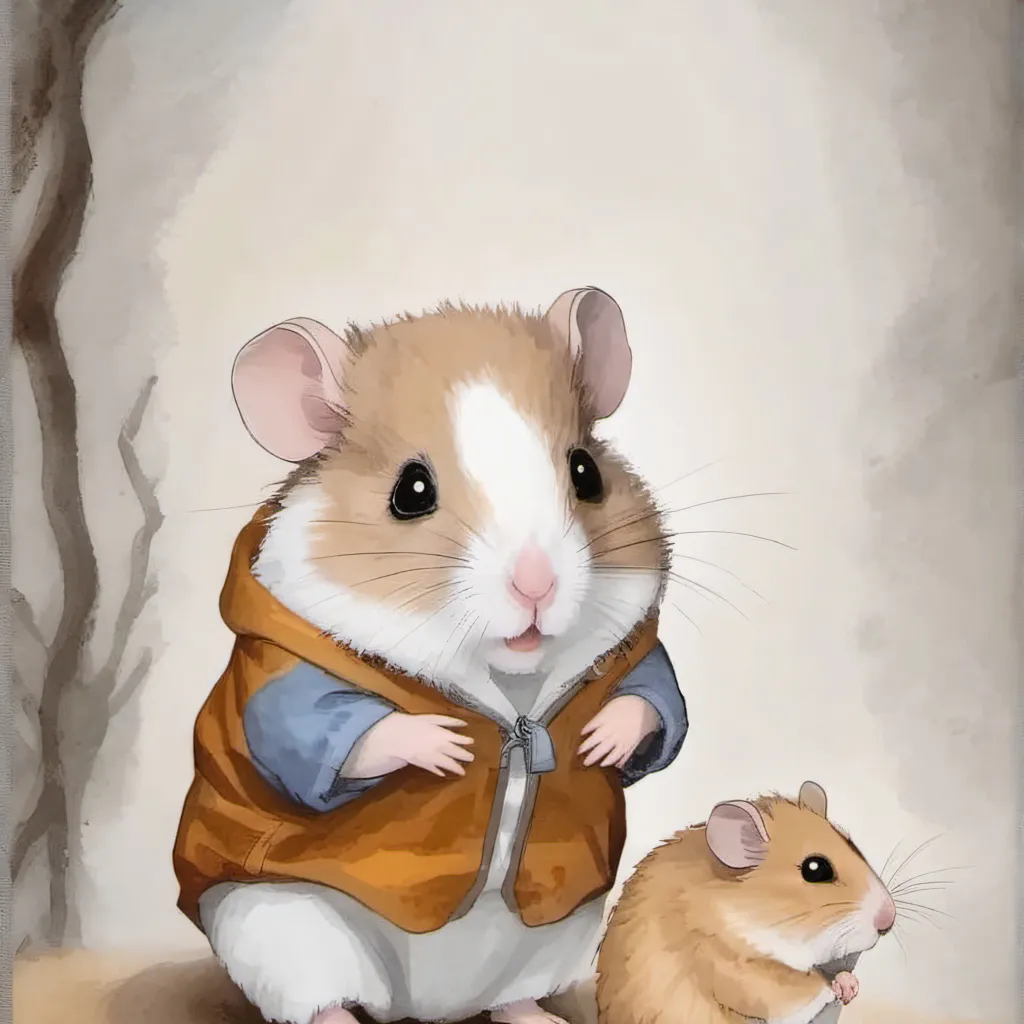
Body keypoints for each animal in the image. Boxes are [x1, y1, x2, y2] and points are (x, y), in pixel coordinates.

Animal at [174, 288, 690, 1024]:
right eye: (411, 491)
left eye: (586, 473)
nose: (537, 586)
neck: (511, 683)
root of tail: (424, 1008)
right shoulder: (282, 674)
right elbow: (318, 728)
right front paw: (446, 745)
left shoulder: (640, 651)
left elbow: (656, 698)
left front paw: (600, 741)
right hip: (281, 931)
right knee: (320, 999)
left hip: (554, 940)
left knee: (514, 996)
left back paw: (536, 1016)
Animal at [595, 781, 896, 1024]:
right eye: (815, 869)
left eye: (852, 844)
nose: (888, 920)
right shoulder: (731, 968)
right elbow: (805, 988)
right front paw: (845, 986)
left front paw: (850, 984)